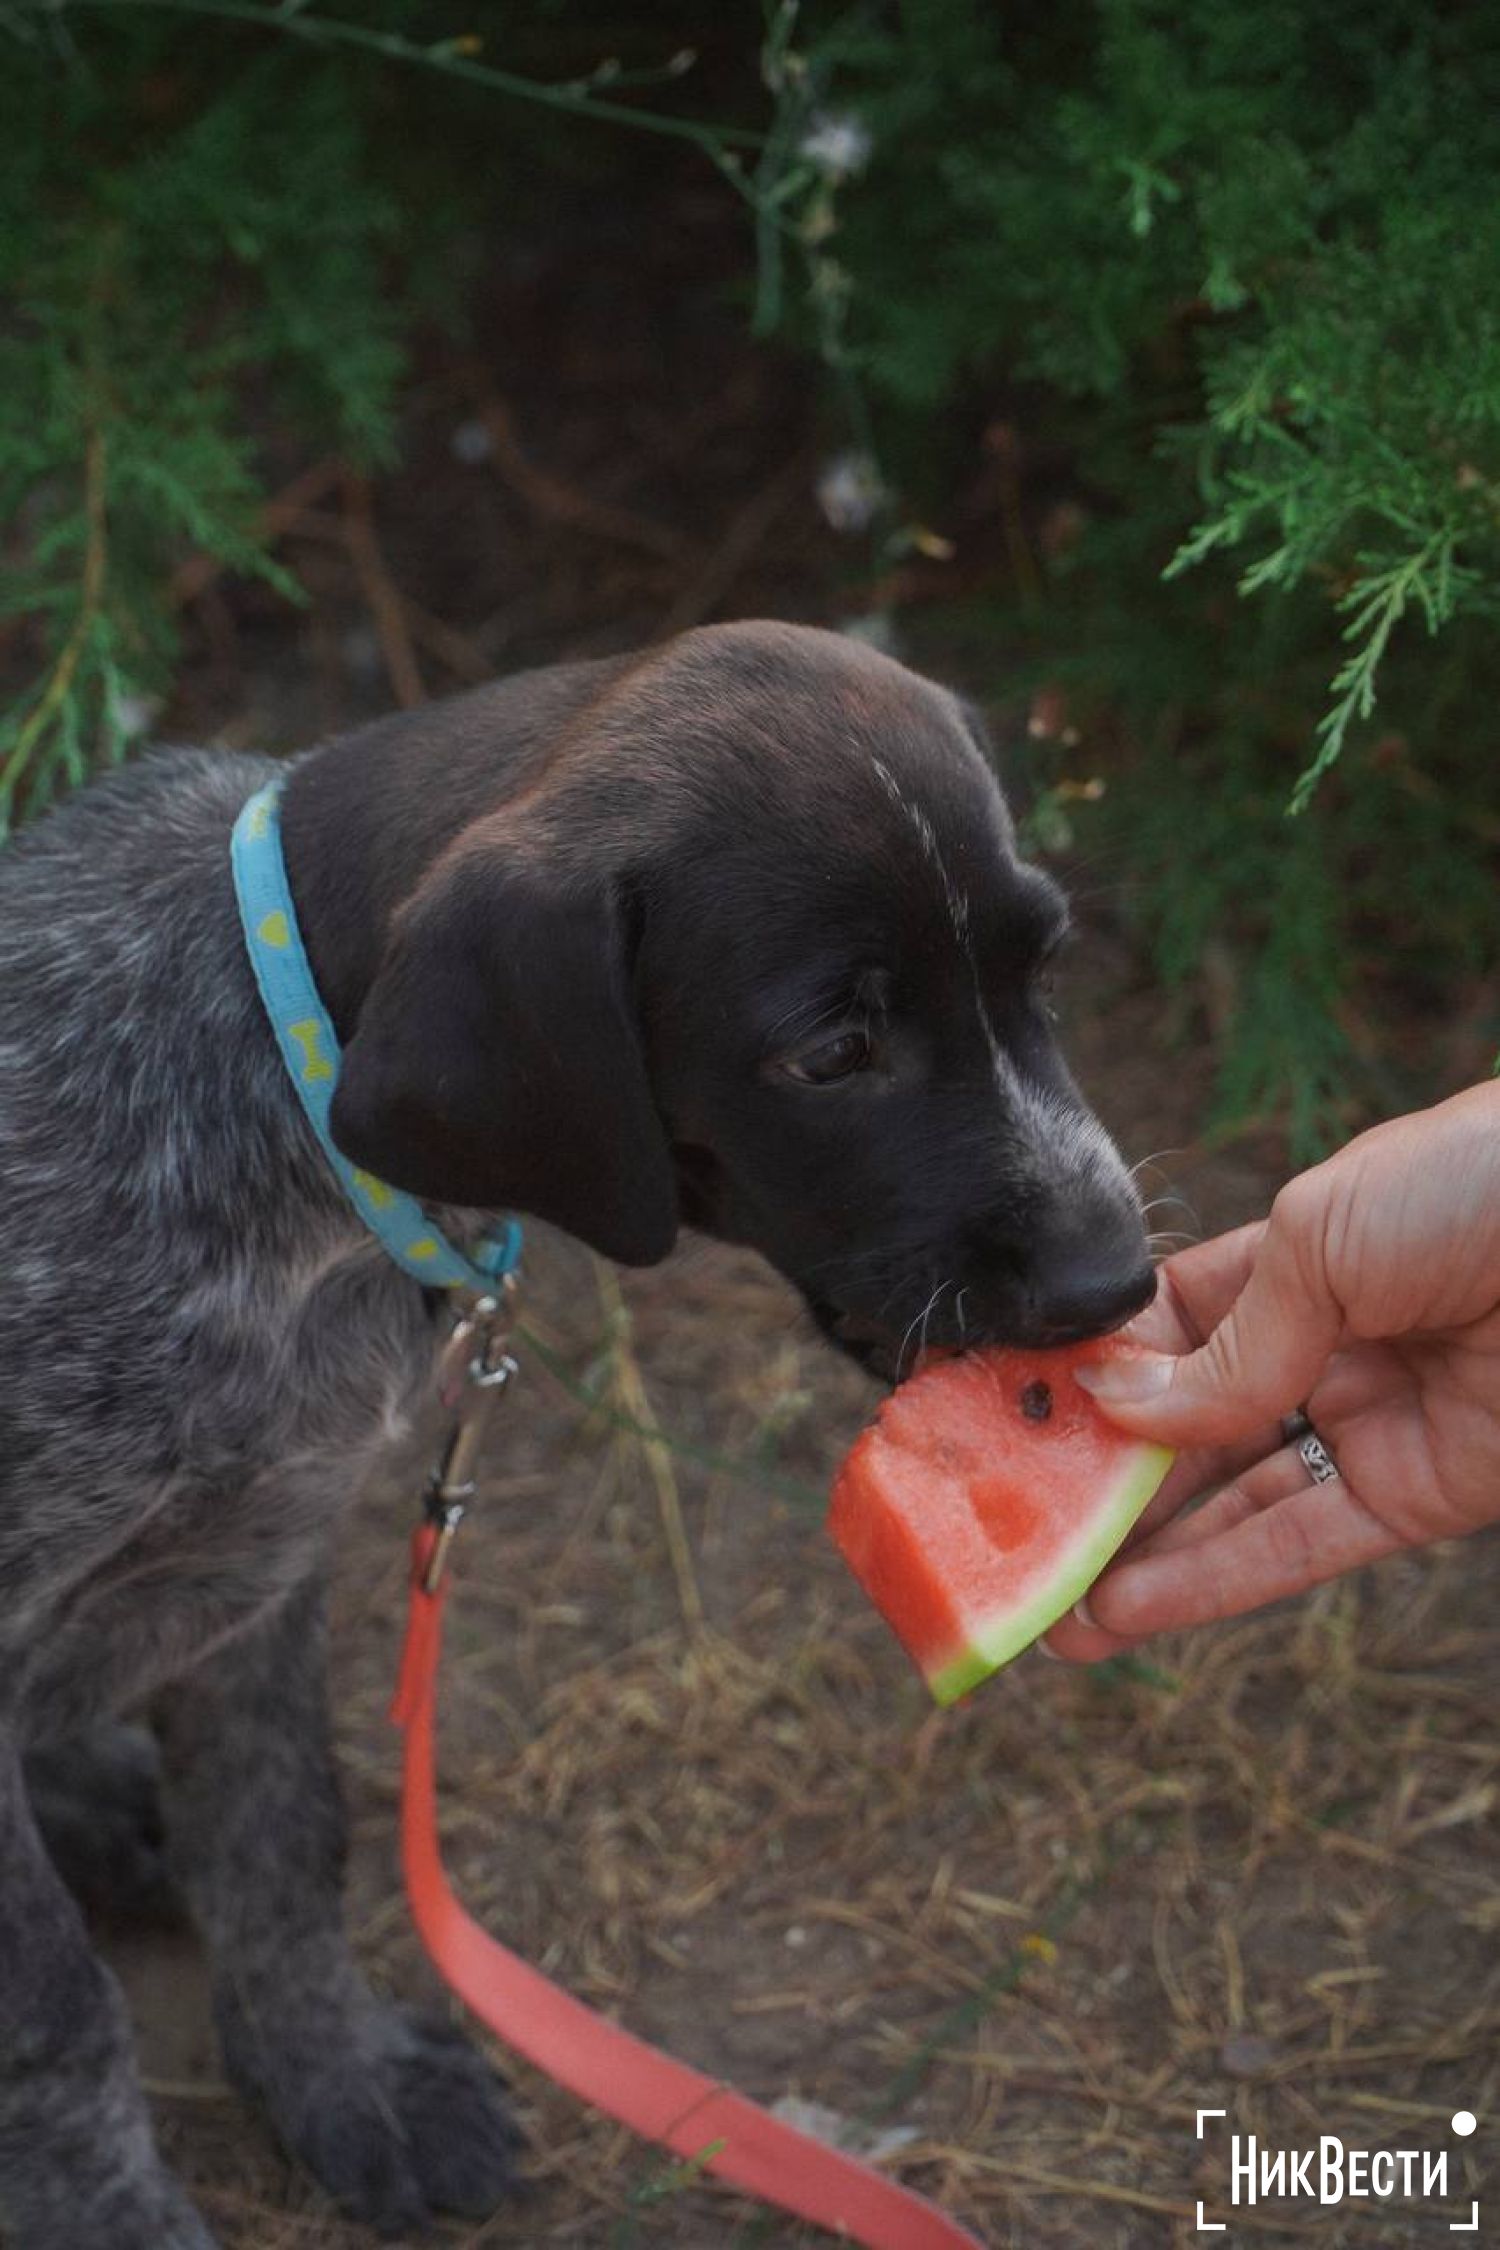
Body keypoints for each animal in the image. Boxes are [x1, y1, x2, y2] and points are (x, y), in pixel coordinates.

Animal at [0, 621, 1151, 2250]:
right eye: (833, 1049)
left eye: (1040, 968)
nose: (1119, 1277)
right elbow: (55, 2011)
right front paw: (120, 2216)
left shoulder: (260, 1567)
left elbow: (283, 1841)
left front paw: (341, 2084)